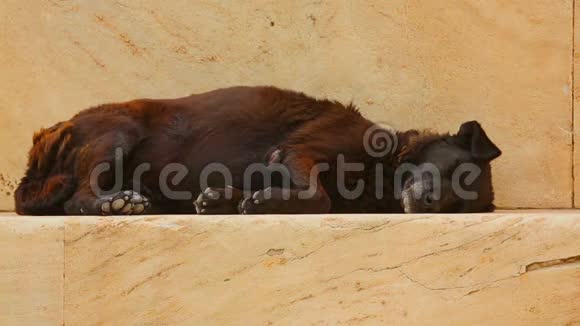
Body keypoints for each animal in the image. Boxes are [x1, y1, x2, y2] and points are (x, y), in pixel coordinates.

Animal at [15, 85, 500, 215]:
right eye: (455, 170)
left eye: (457, 205)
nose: (430, 203)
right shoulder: (298, 150)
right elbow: (319, 197)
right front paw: (267, 202)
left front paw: (223, 199)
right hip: (116, 132)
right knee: (79, 198)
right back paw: (115, 203)